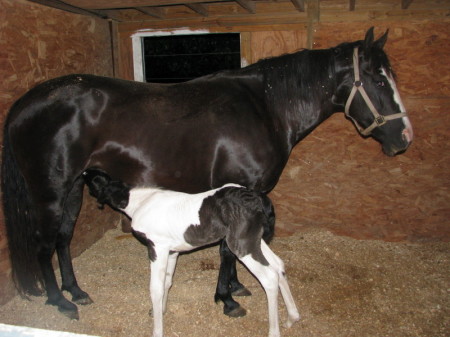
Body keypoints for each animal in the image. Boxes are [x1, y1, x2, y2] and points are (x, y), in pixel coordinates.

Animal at [1, 27, 414, 318]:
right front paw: (227, 299)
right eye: (379, 80)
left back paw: (76, 291)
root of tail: (26, 103)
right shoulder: (236, 189)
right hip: (51, 192)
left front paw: (236, 288)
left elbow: (233, 249)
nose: (405, 137)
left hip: (73, 188)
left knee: (63, 240)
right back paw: (60, 302)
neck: (265, 108)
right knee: (44, 243)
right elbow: (228, 250)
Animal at [81, 168, 298, 336]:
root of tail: (259, 198)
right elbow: (167, 282)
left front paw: (157, 330)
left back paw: (274, 331)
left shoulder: (156, 247)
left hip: (242, 245)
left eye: (88, 177)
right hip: (254, 241)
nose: (82, 172)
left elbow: (155, 288)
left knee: (269, 277)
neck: (139, 202)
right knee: (278, 265)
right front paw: (161, 310)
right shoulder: (171, 252)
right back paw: (292, 318)